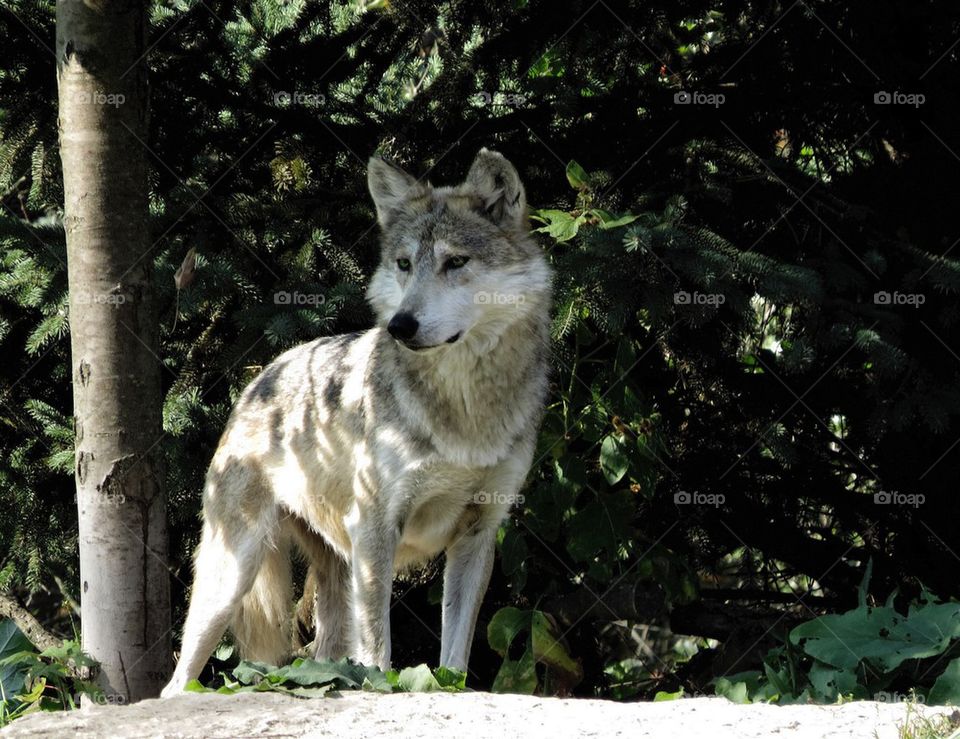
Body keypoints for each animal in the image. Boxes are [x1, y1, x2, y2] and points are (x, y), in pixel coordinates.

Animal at [161, 149, 552, 696]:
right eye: (404, 264)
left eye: (456, 262)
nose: (400, 326)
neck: (465, 411)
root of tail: (261, 377)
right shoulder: (375, 527)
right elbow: (379, 649)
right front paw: (387, 688)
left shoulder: (478, 532)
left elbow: (455, 652)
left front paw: (449, 687)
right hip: (232, 576)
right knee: (174, 681)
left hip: (332, 576)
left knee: (328, 660)